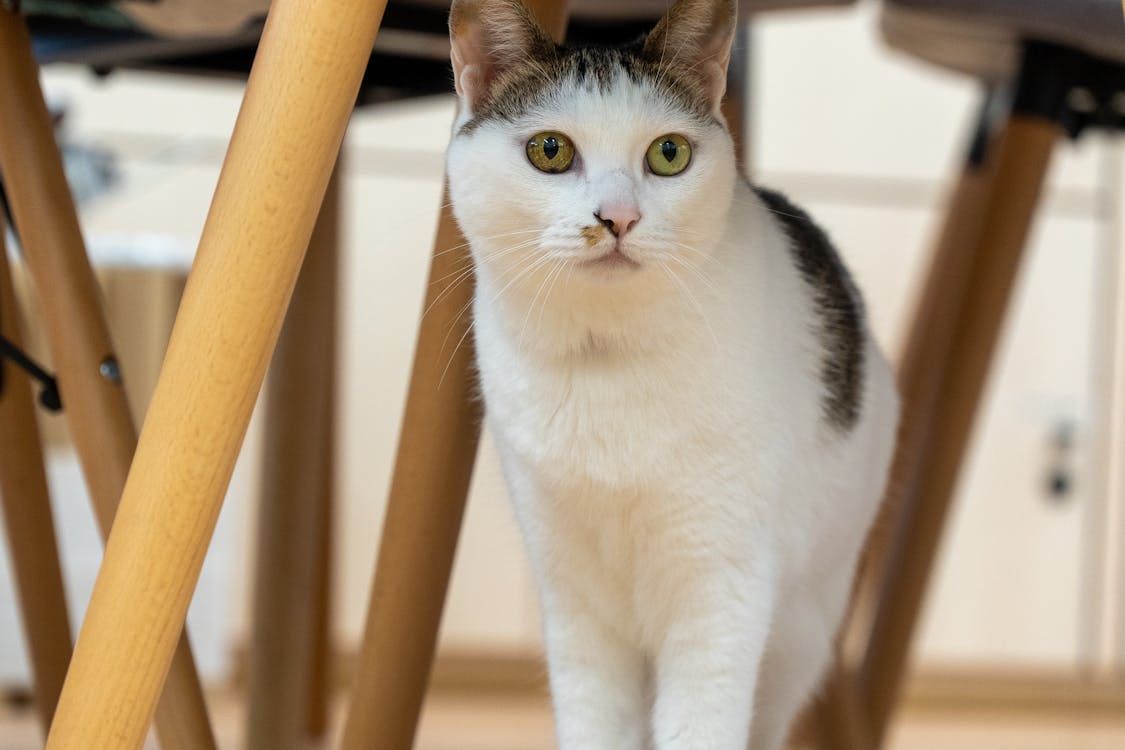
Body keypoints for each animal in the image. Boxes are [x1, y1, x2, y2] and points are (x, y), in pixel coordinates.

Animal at [443, 0, 900, 746]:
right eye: (550, 151)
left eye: (668, 154)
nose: (618, 218)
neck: (604, 364)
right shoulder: (574, 603)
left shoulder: (720, 593)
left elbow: (701, 724)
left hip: (801, 624)